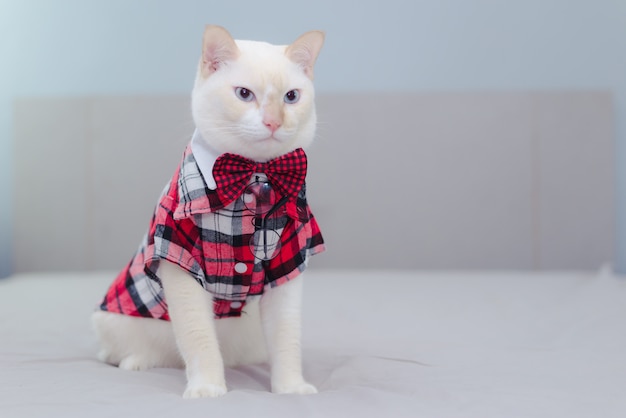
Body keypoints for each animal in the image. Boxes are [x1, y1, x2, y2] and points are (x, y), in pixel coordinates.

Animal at [91, 25, 324, 398]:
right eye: (244, 94)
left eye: (291, 97)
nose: (273, 122)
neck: (255, 175)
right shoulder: (179, 264)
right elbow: (198, 339)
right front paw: (207, 387)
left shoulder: (289, 263)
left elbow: (287, 338)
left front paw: (290, 386)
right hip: (112, 320)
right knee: (126, 352)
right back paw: (136, 360)